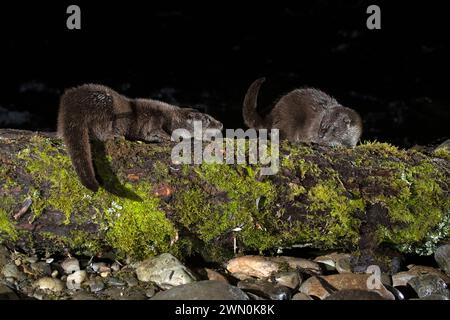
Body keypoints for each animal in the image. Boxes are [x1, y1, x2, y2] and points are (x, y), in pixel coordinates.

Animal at [58, 84, 223, 191]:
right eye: (208, 119)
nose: (221, 124)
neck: (172, 118)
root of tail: (71, 103)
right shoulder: (154, 116)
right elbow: (152, 130)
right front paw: (166, 136)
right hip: (104, 105)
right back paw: (115, 135)